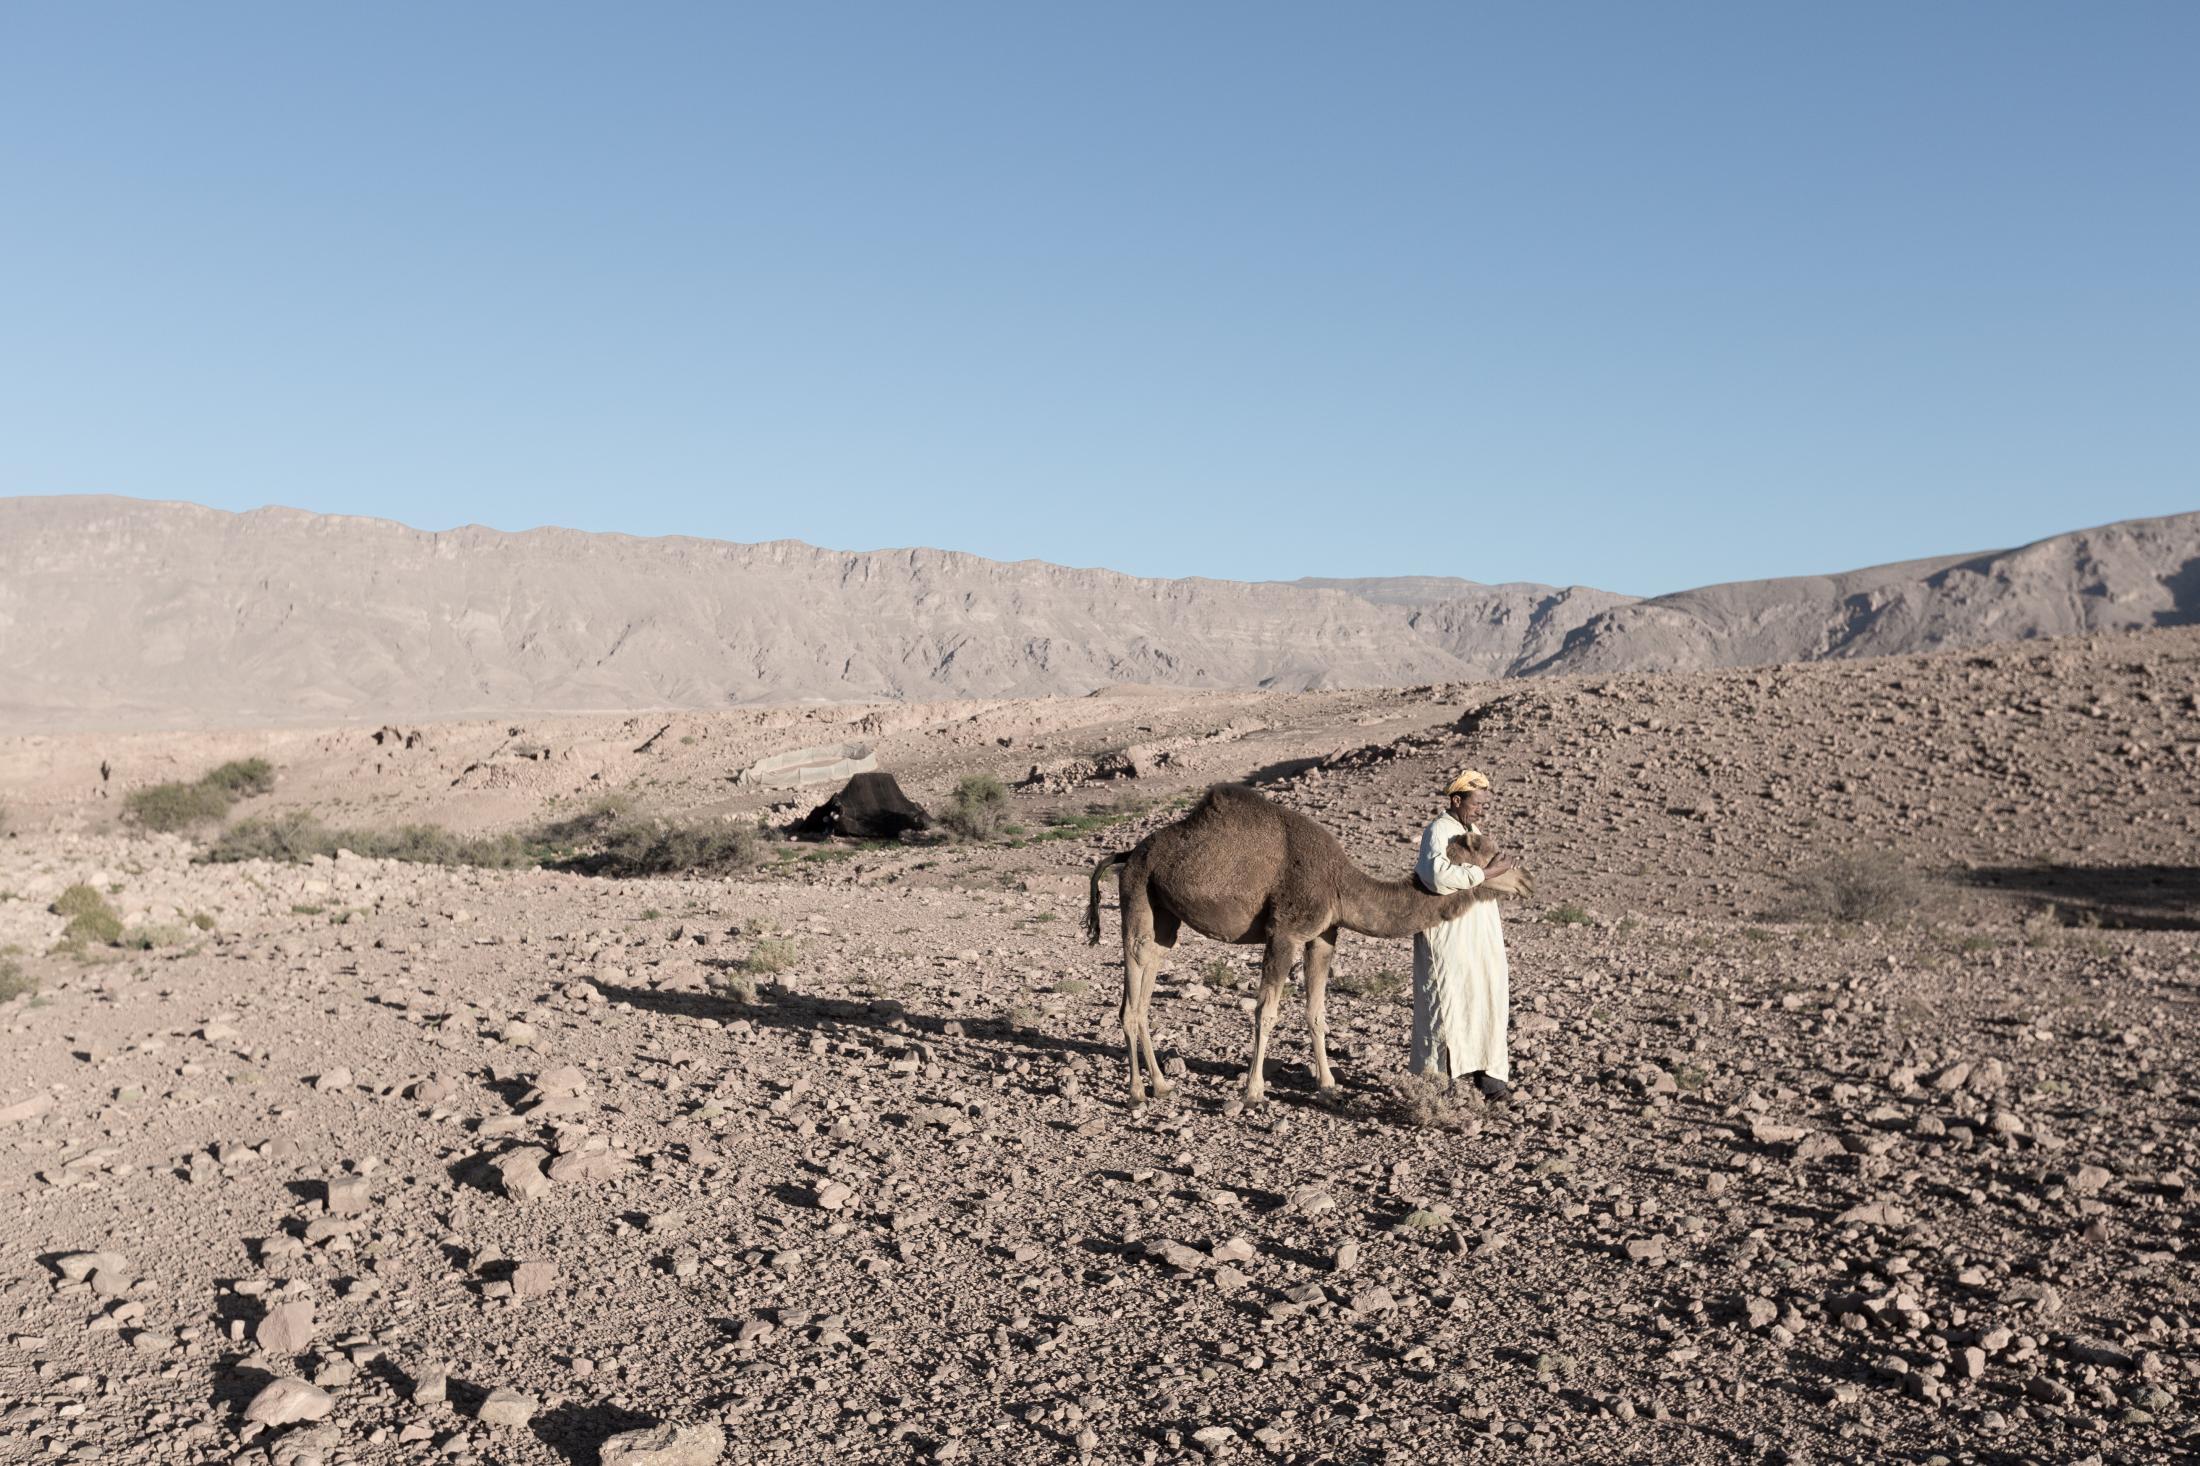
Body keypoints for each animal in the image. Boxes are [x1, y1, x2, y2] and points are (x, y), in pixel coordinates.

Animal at [1082, 783, 1531, 1100]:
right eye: (1494, 853)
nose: (1526, 879)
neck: (1339, 883)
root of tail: (1127, 854)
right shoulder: (1284, 932)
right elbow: (1266, 1012)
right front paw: (1252, 1093)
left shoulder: (1323, 935)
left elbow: (1316, 1012)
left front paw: (1328, 1084)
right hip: (1138, 895)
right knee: (1132, 991)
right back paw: (1138, 1094)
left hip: (1163, 917)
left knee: (1147, 982)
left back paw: (1161, 1086)